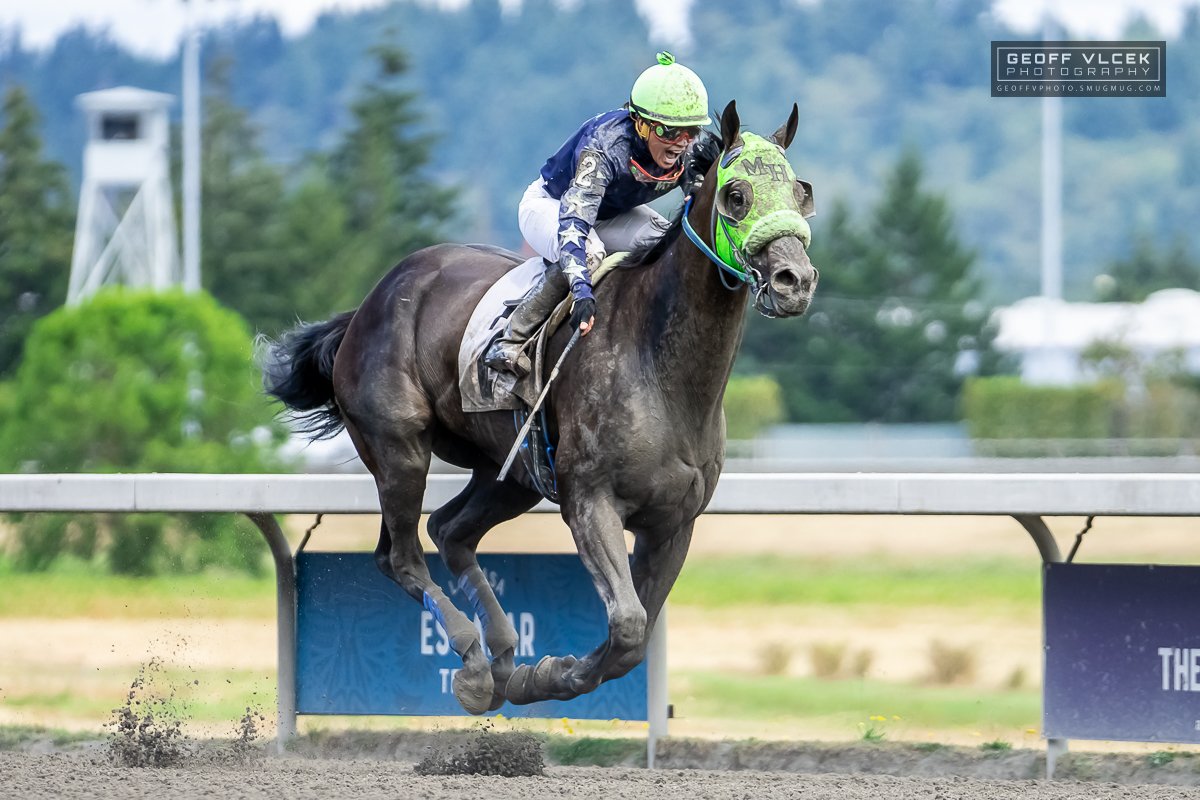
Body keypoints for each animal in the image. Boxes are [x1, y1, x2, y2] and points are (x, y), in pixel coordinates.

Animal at [261, 100, 819, 714]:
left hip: (512, 473)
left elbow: (635, 639)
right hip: (399, 448)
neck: (659, 367)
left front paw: (539, 674)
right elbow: (628, 624)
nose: (795, 281)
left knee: (450, 531)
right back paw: (474, 665)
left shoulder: (674, 522)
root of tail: (367, 306)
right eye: (736, 195)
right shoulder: (590, 501)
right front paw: (549, 673)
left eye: (801, 192)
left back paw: (504, 657)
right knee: (400, 555)